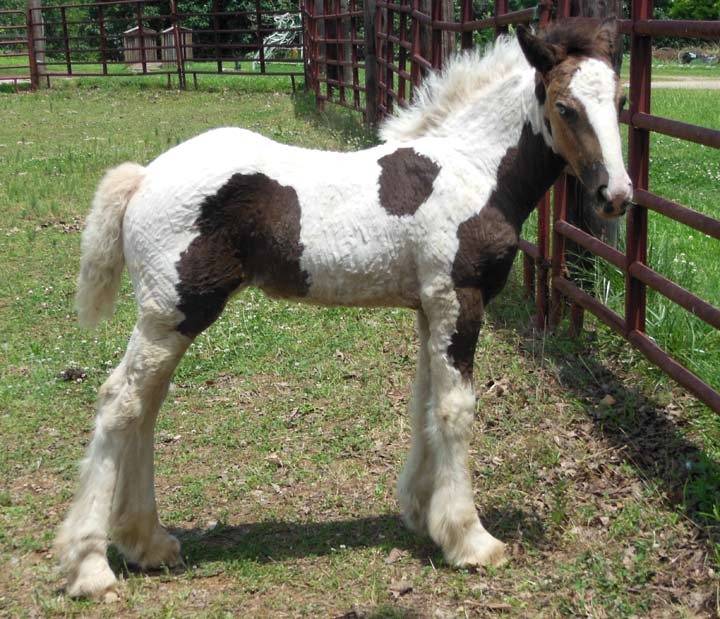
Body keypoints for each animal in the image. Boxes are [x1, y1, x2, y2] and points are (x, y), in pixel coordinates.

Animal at [54, 19, 632, 600]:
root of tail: (142, 177)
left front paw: (421, 513)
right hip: (174, 312)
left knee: (145, 407)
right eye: (564, 106)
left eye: (621, 100)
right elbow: (455, 409)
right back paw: (92, 566)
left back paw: (148, 542)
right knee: (121, 403)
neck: (473, 168)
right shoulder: (458, 299)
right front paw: (470, 539)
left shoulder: (428, 306)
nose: (617, 195)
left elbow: (423, 401)